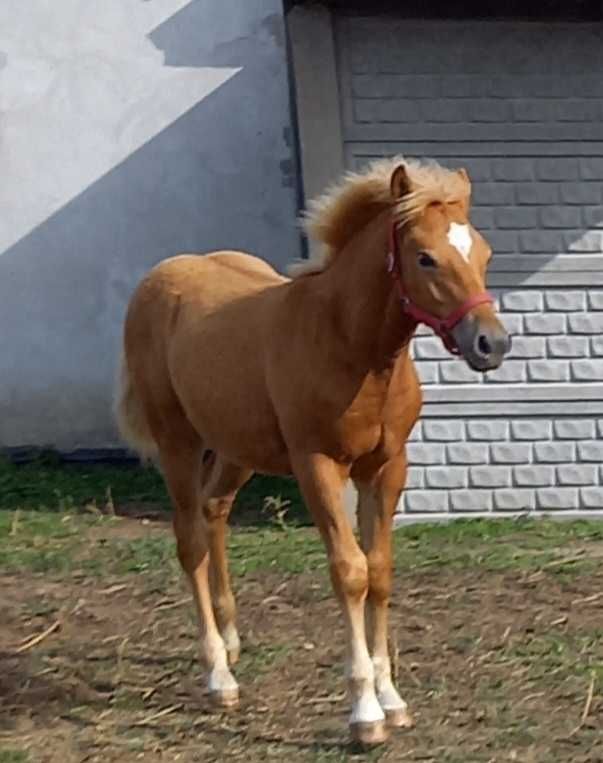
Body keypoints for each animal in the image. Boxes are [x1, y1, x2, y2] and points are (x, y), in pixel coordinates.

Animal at [114, 157, 510, 748]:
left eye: (483, 253)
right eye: (425, 257)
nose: (492, 343)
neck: (349, 345)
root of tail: (158, 278)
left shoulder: (387, 467)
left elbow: (381, 570)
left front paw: (393, 700)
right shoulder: (318, 466)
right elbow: (350, 571)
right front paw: (365, 713)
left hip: (237, 449)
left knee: (214, 511)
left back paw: (232, 639)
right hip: (177, 442)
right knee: (190, 540)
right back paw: (218, 675)